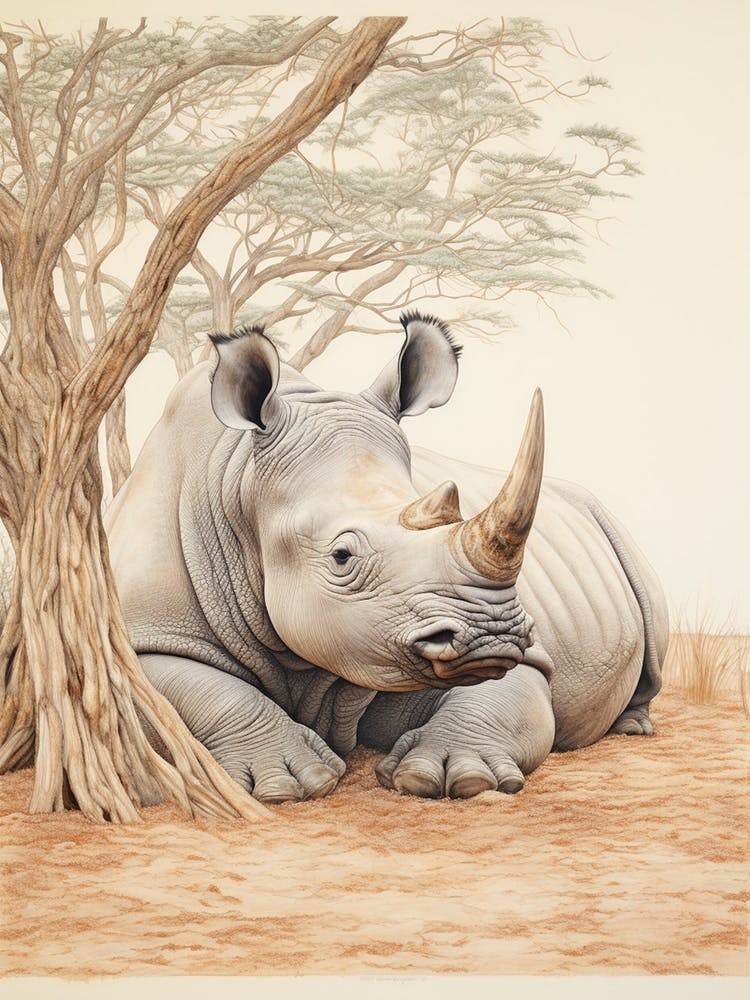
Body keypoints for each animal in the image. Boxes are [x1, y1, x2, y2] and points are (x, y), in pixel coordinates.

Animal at [107, 312, 669, 803]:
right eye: (341, 556)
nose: (491, 637)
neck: (235, 480)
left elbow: (508, 692)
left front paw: (453, 777)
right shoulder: (137, 629)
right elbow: (192, 691)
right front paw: (291, 784)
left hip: (610, 526)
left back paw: (633, 727)